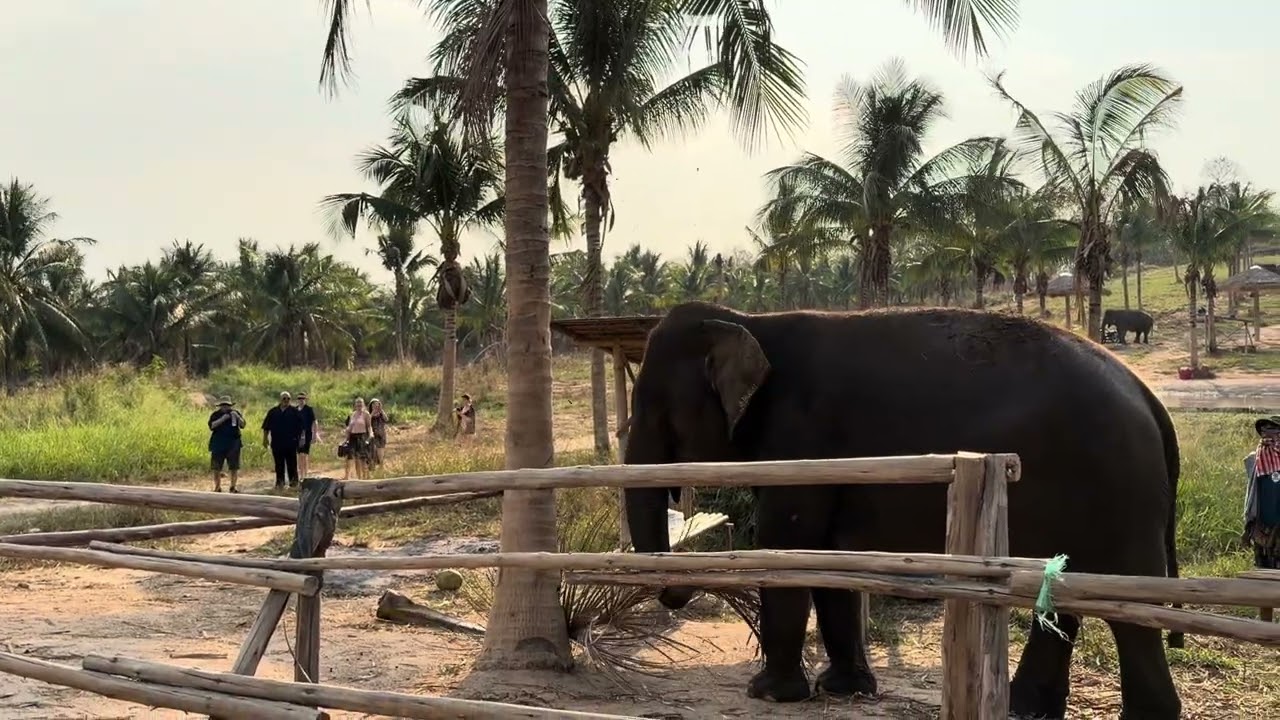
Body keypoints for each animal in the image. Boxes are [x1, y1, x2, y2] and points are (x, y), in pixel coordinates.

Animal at [623, 301, 1183, 720]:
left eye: (656, 409)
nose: (681, 592)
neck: (752, 321)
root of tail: (1150, 398)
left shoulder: (802, 435)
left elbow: (788, 540)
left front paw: (768, 694)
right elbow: (831, 555)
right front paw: (845, 688)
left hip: (1119, 486)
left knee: (1127, 603)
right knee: (1066, 592)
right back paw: (1026, 709)